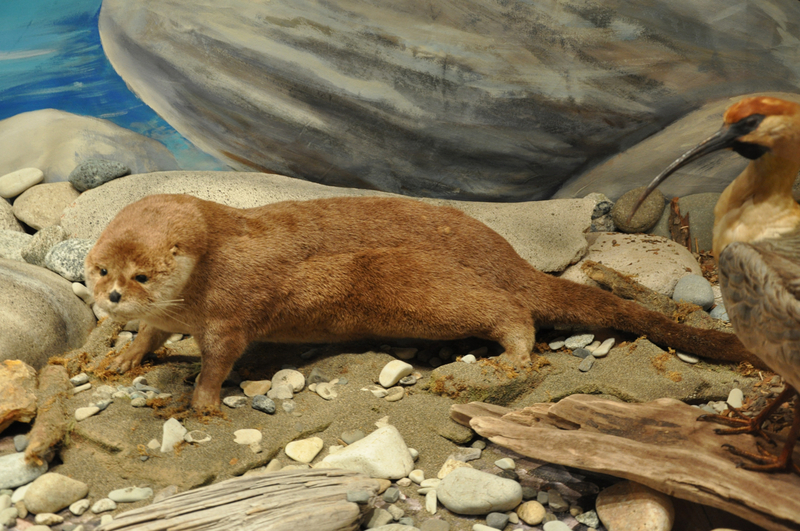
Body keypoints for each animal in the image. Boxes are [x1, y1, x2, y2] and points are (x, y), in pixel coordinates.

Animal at [86, 197, 756, 410]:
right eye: (99, 270)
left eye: (141, 274)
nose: (113, 296)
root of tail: (508, 258)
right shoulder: (167, 317)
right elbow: (148, 336)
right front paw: (121, 359)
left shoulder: (232, 305)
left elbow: (223, 355)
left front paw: (201, 400)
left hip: (425, 293)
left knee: (515, 313)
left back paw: (508, 362)